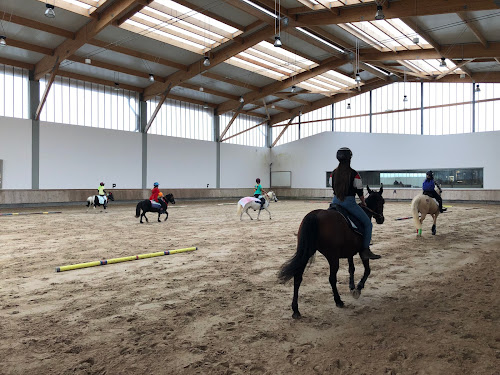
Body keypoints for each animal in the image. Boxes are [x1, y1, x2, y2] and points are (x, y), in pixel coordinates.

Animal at [280, 186, 384, 320]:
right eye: (382, 202)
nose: (381, 219)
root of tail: (315, 215)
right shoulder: (362, 252)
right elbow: (367, 270)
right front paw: (358, 288)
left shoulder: (350, 252)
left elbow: (352, 269)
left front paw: (351, 286)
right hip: (332, 257)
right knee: (332, 278)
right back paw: (338, 300)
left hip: (306, 252)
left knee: (298, 277)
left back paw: (296, 310)